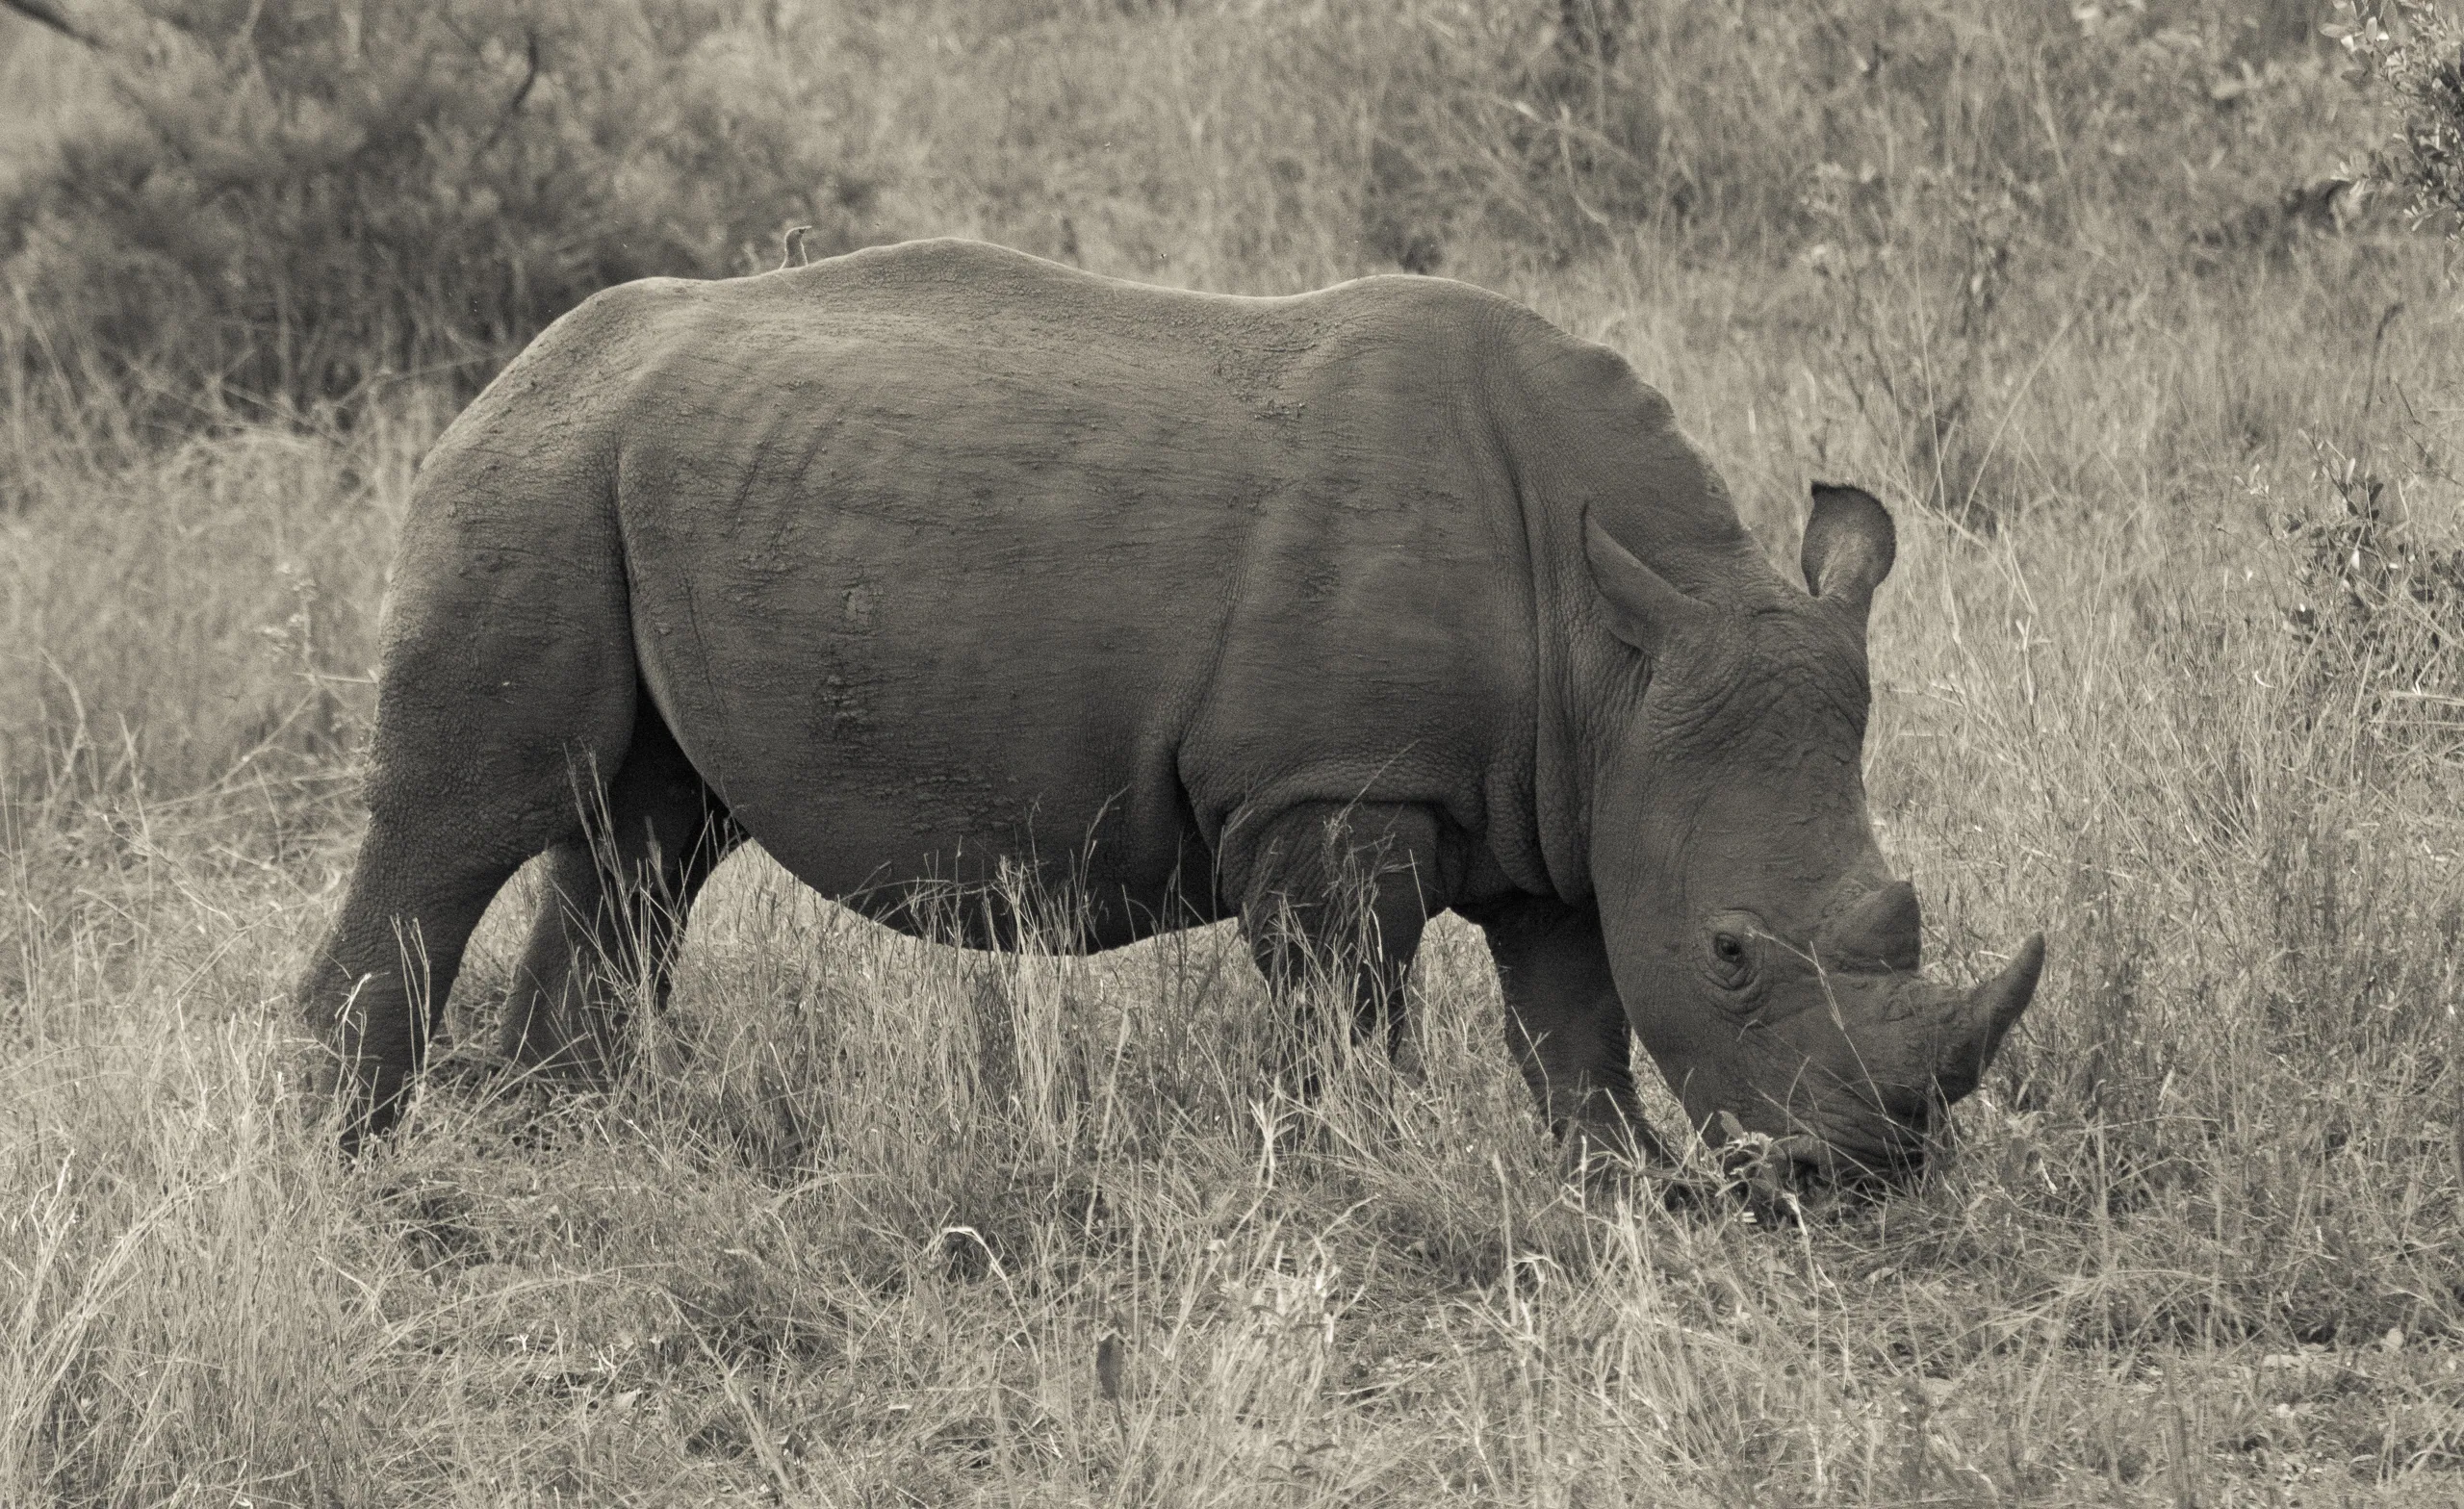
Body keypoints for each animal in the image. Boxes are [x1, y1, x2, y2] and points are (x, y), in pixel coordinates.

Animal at [301, 237, 2044, 1185]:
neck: (1612, 642)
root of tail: (514, 366)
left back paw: (574, 1142)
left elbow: (1574, 1021)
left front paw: (1618, 1192)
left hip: (640, 481)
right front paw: (1355, 1178)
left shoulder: (1567, 800)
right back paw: (343, 1156)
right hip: (534, 480)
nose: (1860, 1175)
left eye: (1904, 915)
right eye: (1735, 953)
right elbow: (1347, 1011)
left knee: (646, 843)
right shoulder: (1332, 787)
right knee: (466, 824)